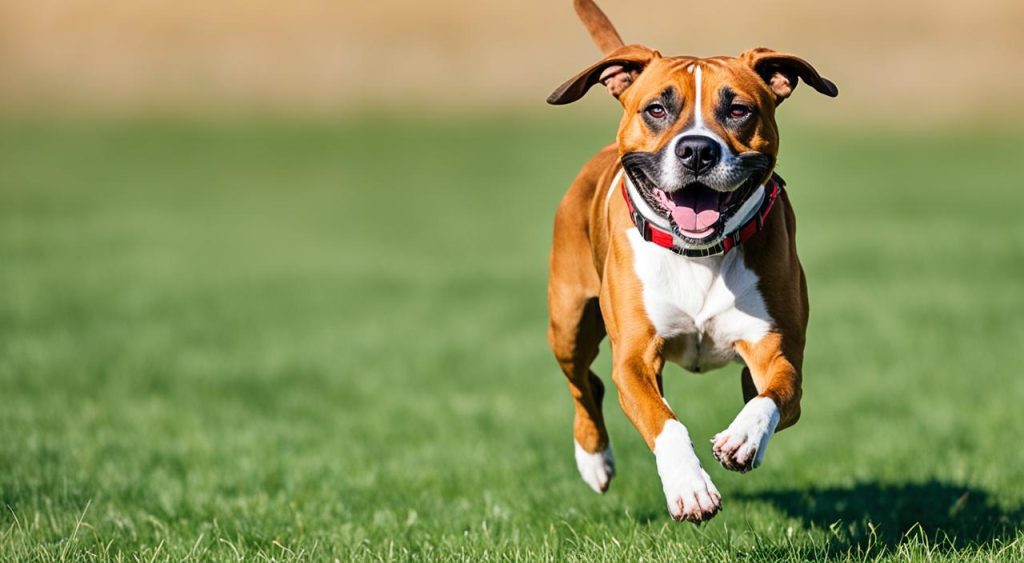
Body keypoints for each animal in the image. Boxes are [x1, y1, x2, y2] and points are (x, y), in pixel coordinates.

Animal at [548, 0, 835, 524]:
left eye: (738, 109)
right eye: (657, 109)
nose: (697, 149)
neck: (699, 255)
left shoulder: (776, 352)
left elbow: (773, 393)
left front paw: (743, 437)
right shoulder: (634, 358)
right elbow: (664, 421)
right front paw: (689, 487)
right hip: (569, 323)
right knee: (585, 384)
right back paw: (594, 459)